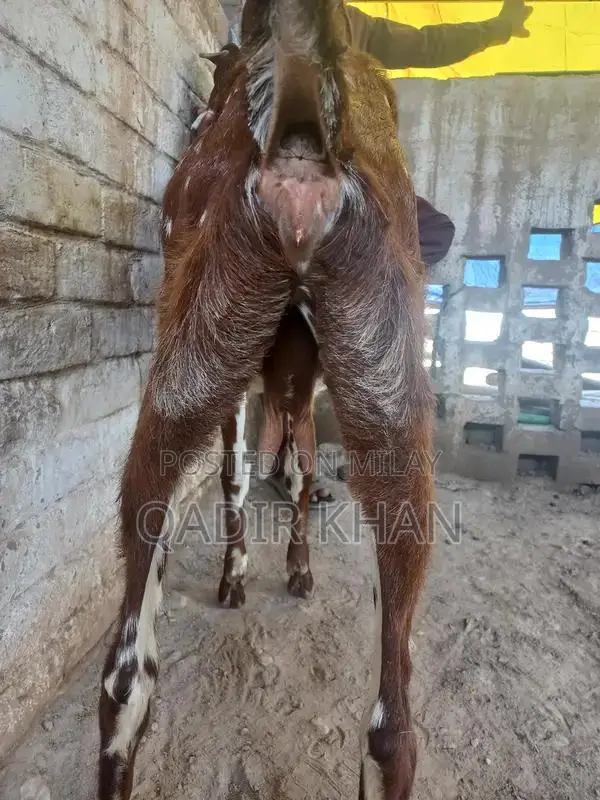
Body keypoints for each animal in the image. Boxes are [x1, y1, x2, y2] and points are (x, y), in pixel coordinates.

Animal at [97, 0, 435, 798]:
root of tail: (303, 148)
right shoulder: (295, 394)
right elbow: (284, 474)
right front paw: (284, 571)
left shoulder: (247, 394)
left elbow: (240, 477)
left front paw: (241, 578)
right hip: (390, 394)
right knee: (394, 728)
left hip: (190, 360)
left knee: (126, 679)